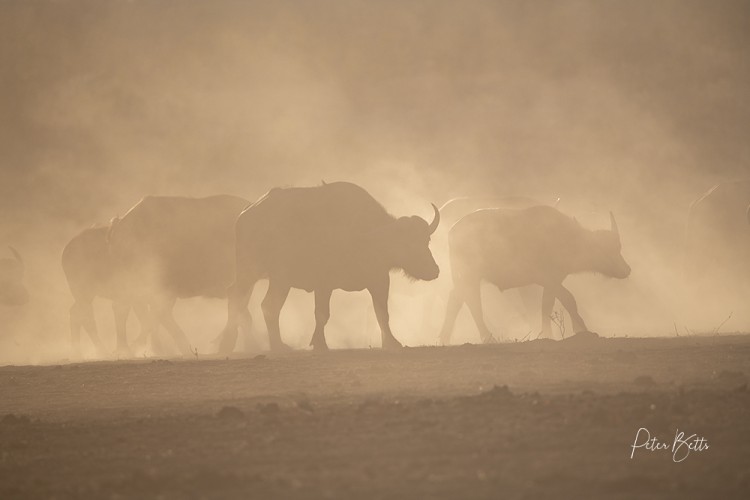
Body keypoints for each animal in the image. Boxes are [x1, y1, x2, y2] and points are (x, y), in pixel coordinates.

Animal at [217, 181, 440, 352]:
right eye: (406, 243)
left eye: (426, 240)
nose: (434, 270)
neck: (365, 238)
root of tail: (245, 214)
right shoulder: (323, 284)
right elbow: (322, 314)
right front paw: (320, 344)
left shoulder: (379, 280)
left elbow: (382, 313)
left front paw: (392, 342)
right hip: (264, 275)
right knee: (265, 305)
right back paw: (276, 346)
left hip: (265, 278)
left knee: (238, 297)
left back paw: (230, 342)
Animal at [438, 204, 632, 344]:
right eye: (608, 249)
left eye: (618, 247)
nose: (627, 269)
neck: (568, 239)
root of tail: (452, 231)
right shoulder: (549, 279)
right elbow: (568, 298)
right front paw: (582, 329)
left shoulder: (552, 282)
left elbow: (547, 305)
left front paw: (548, 334)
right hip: (470, 275)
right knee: (472, 301)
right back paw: (487, 337)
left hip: (468, 278)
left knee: (456, 298)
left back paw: (444, 338)